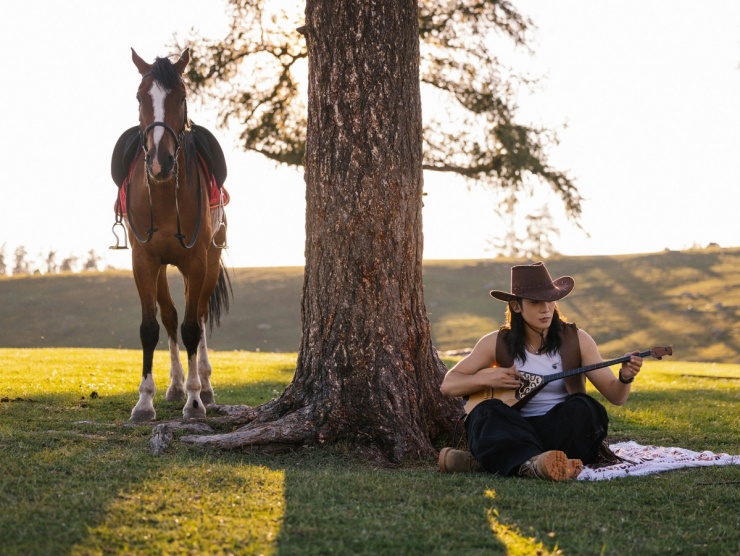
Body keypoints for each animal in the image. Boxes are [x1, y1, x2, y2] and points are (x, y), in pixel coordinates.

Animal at [114, 48, 230, 422]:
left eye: (181, 97)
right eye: (140, 98)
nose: (160, 162)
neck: (164, 194)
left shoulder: (196, 261)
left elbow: (193, 328)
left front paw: (194, 401)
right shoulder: (144, 261)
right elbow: (151, 327)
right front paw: (144, 401)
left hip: (210, 261)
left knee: (200, 315)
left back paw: (202, 386)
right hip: (163, 266)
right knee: (171, 316)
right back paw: (177, 384)